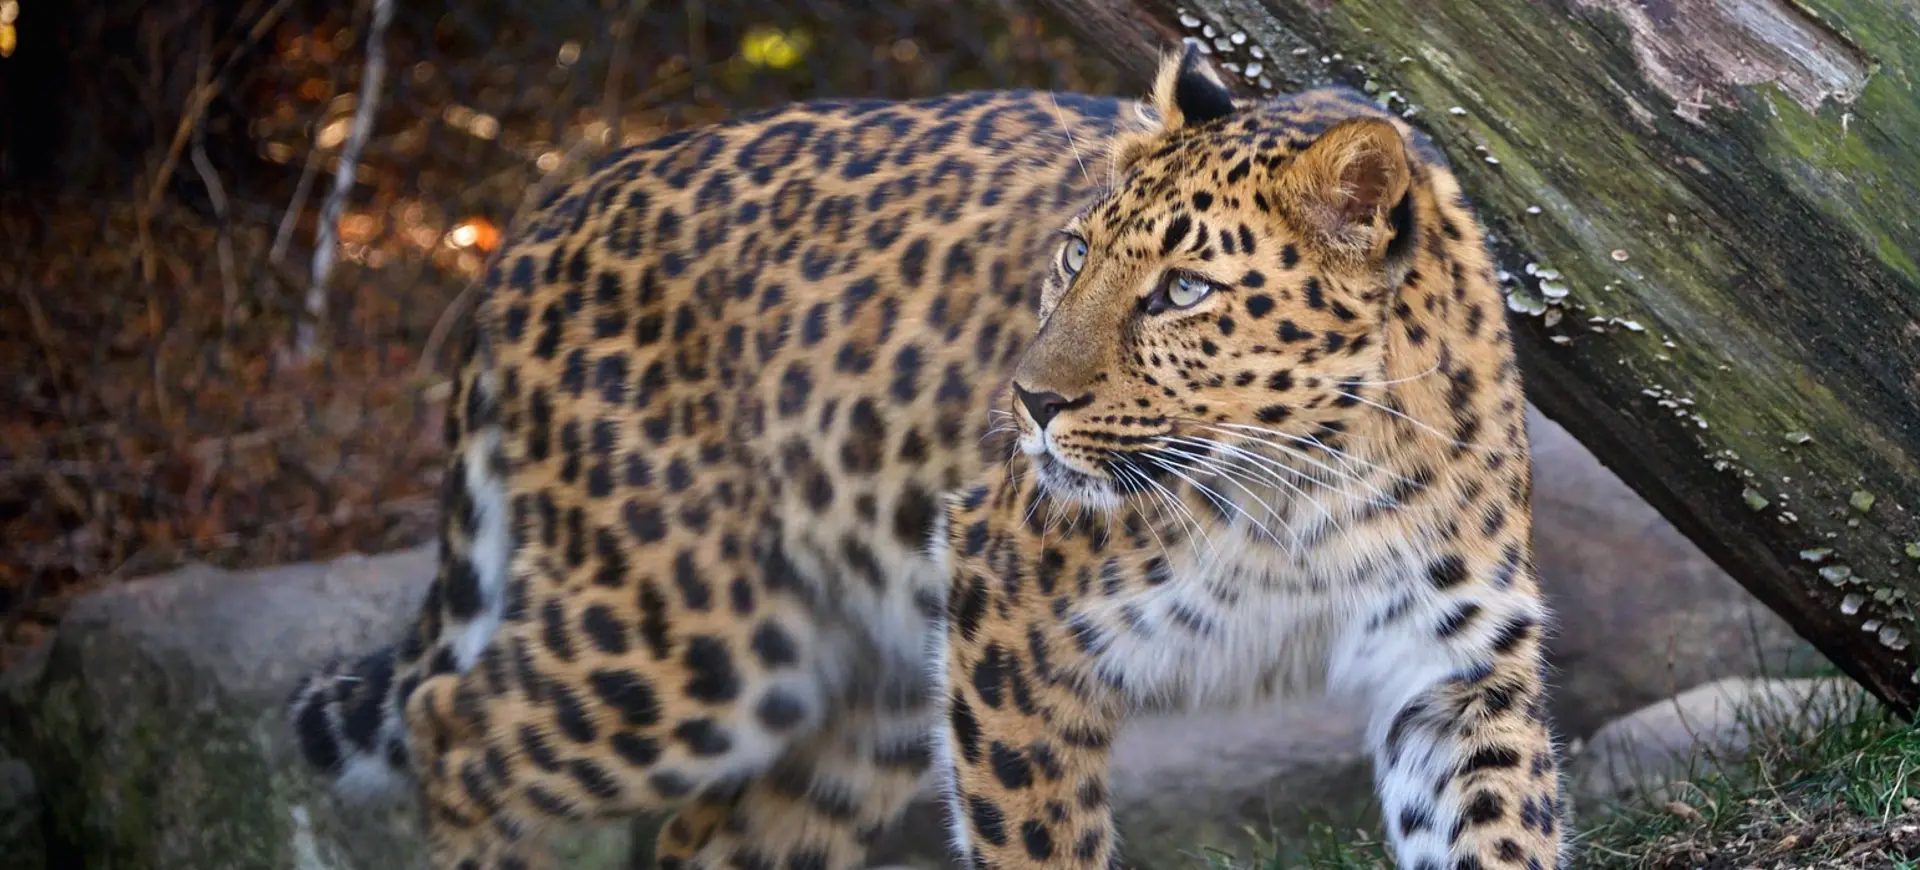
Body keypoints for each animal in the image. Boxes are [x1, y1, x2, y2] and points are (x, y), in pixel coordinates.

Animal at [291, 38, 1566, 868]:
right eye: (1074, 255)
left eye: (1184, 290)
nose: (1030, 402)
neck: (1314, 483)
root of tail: (531, 236)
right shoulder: (1013, 612)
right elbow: (1041, 842)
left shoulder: (1455, 672)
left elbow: (1501, 834)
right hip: (696, 638)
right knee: (456, 731)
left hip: (866, 686)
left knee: (713, 835)